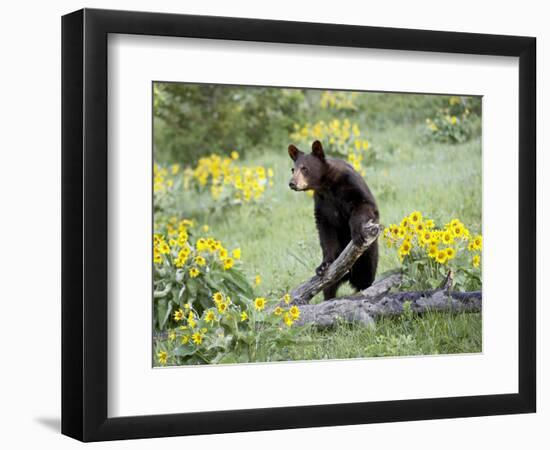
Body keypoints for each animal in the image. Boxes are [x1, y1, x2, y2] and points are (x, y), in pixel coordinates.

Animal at [288, 141, 380, 300]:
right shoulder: (322, 202)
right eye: (293, 169)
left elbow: (364, 205)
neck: (327, 186)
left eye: (304, 168)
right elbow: (326, 231)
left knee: (366, 276)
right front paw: (323, 265)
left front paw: (357, 234)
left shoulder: (351, 185)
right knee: (329, 287)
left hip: (369, 255)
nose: (292, 183)